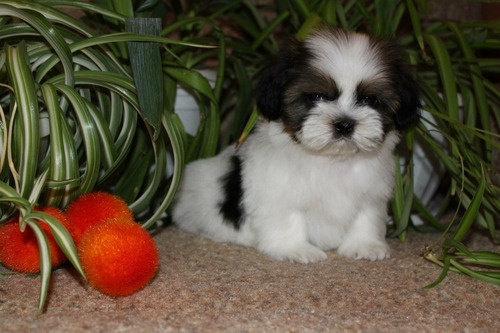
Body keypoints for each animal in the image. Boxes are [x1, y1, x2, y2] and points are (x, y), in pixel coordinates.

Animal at [174, 27, 420, 264]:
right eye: (316, 97)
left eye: (369, 99)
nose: (344, 124)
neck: (333, 160)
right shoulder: (278, 192)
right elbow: (288, 218)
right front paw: (295, 249)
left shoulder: (371, 194)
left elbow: (365, 216)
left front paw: (365, 245)